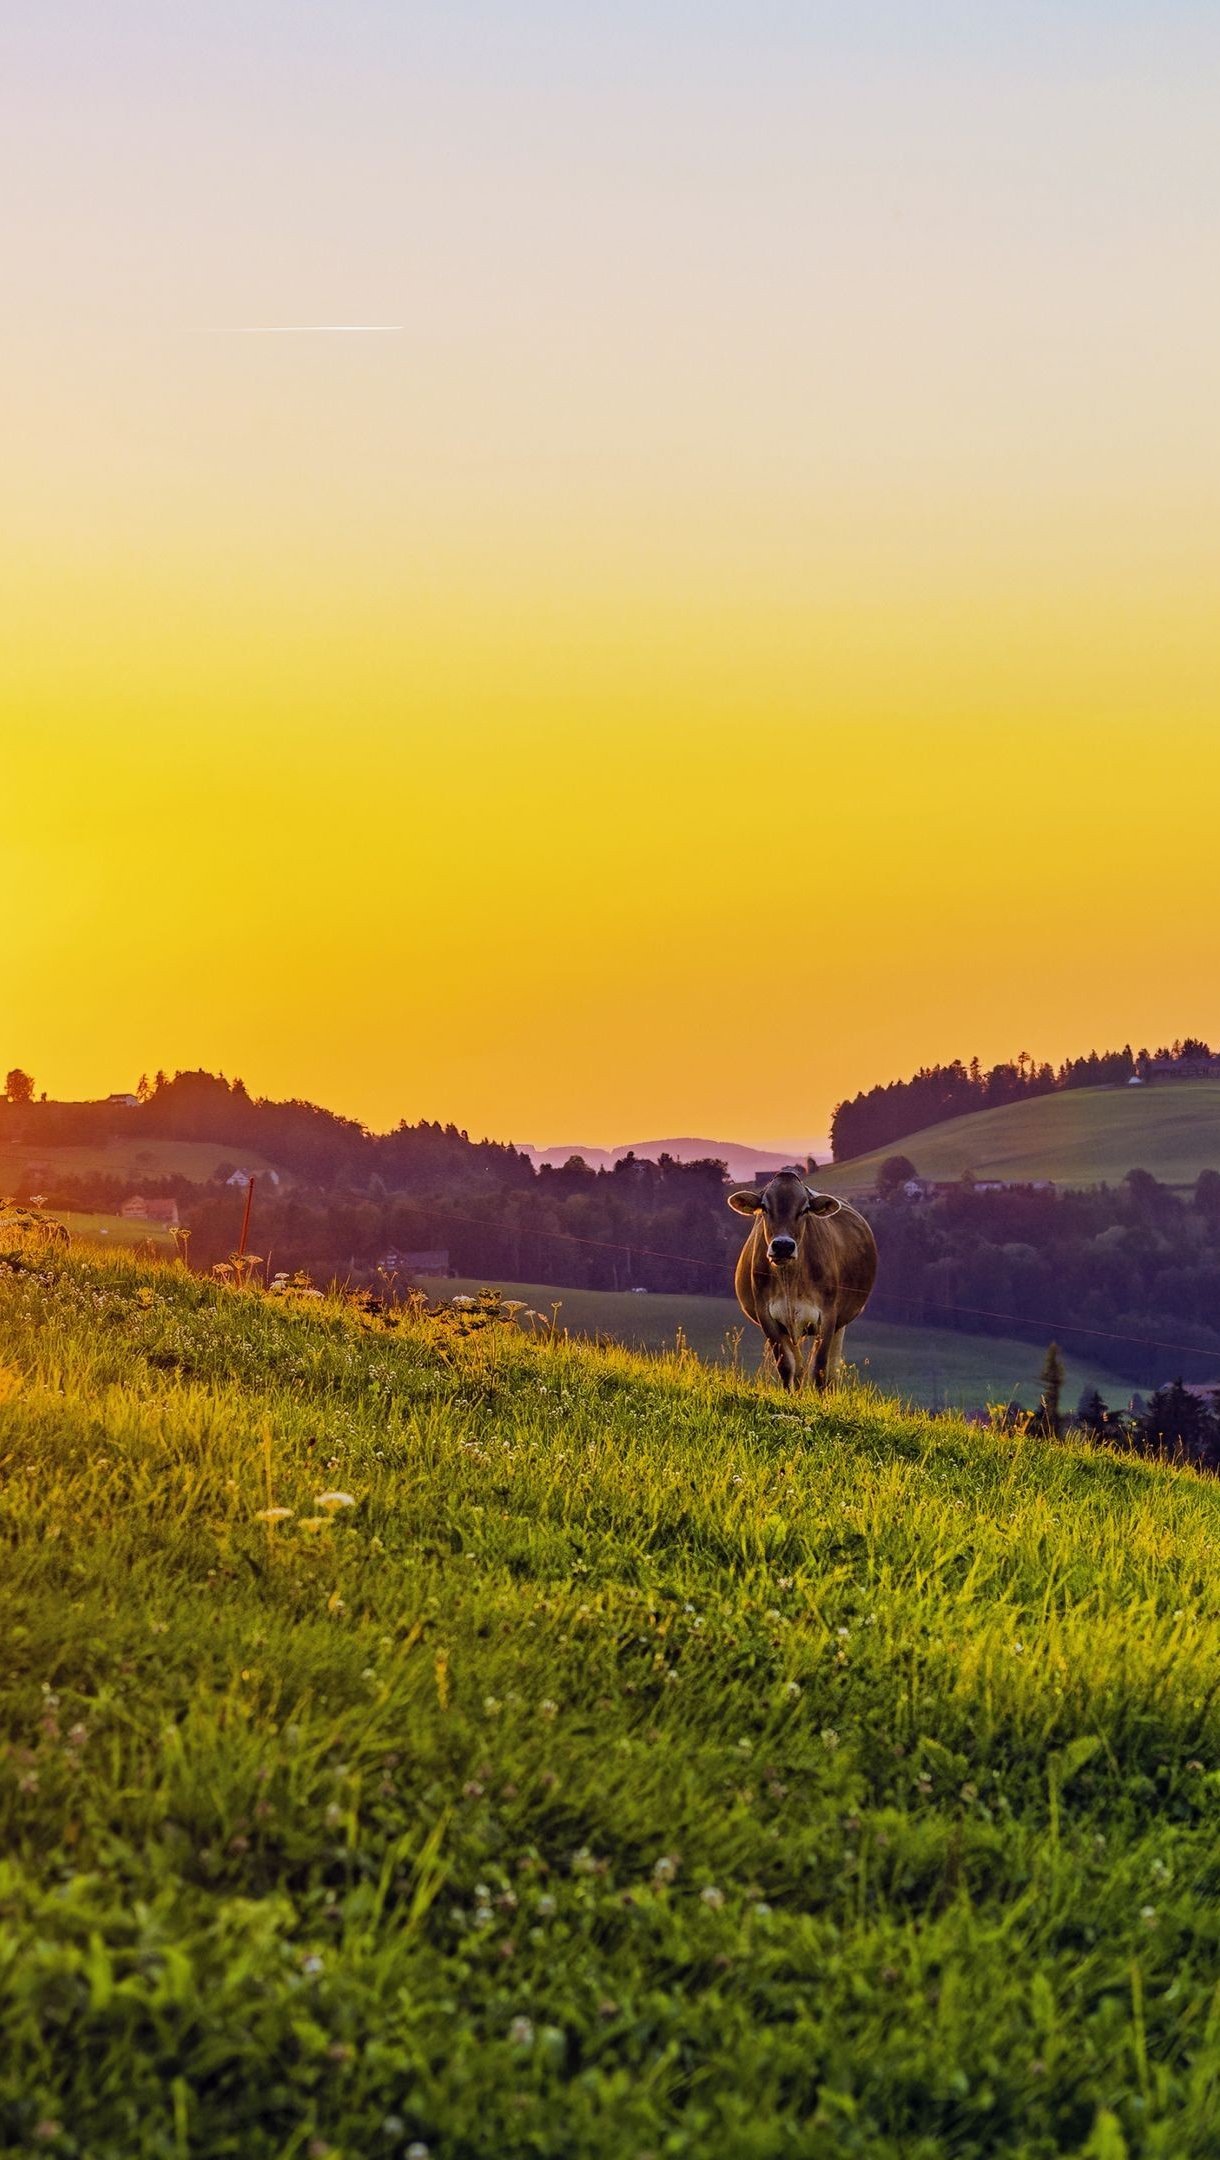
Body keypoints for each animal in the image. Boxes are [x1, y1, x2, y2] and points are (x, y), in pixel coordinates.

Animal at [721, 1175, 876, 1391]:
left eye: (804, 1209)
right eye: (765, 1208)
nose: (783, 1246)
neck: (789, 1280)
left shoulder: (828, 1316)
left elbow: (819, 1369)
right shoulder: (767, 1316)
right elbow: (787, 1367)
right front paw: (790, 1396)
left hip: (840, 1322)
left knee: (831, 1369)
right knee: (799, 1367)